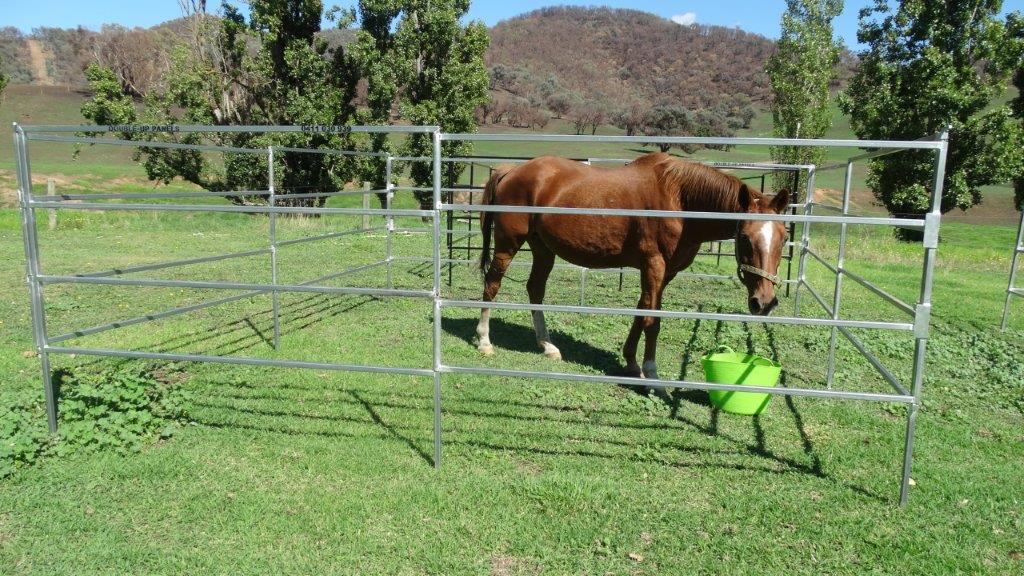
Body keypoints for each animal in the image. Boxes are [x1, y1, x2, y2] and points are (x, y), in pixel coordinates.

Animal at [475, 150, 786, 379]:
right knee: (492, 284)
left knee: (535, 289)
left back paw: (548, 346)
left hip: (542, 249)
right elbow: (652, 320)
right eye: (745, 238)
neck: (679, 200)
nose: (764, 302)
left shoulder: (665, 273)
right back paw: (485, 342)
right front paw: (651, 373)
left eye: (783, 237)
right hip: (507, 245)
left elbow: (642, 311)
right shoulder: (653, 265)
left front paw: (632, 363)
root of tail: (512, 171)